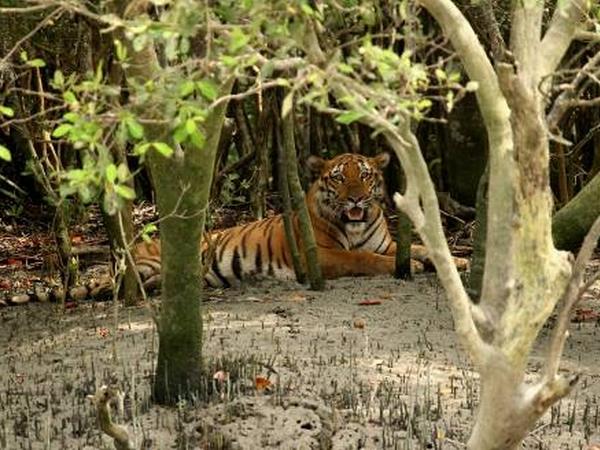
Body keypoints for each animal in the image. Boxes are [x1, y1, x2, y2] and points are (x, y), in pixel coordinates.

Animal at [4, 152, 414, 306]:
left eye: (365, 176)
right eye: (340, 179)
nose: (356, 199)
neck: (356, 224)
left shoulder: (387, 244)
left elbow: (412, 248)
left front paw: (429, 259)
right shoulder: (323, 255)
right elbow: (360, 258)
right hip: (147, 263)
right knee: (108, 287)